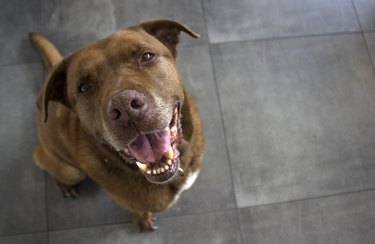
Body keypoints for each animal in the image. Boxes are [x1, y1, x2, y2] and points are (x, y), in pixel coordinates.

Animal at [28, 19, 206, 231]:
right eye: (84, 87)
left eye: (147, 56)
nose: (124, 106)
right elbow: (138, 210)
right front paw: (142, 219)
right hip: (70, 170)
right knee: (40, 157)